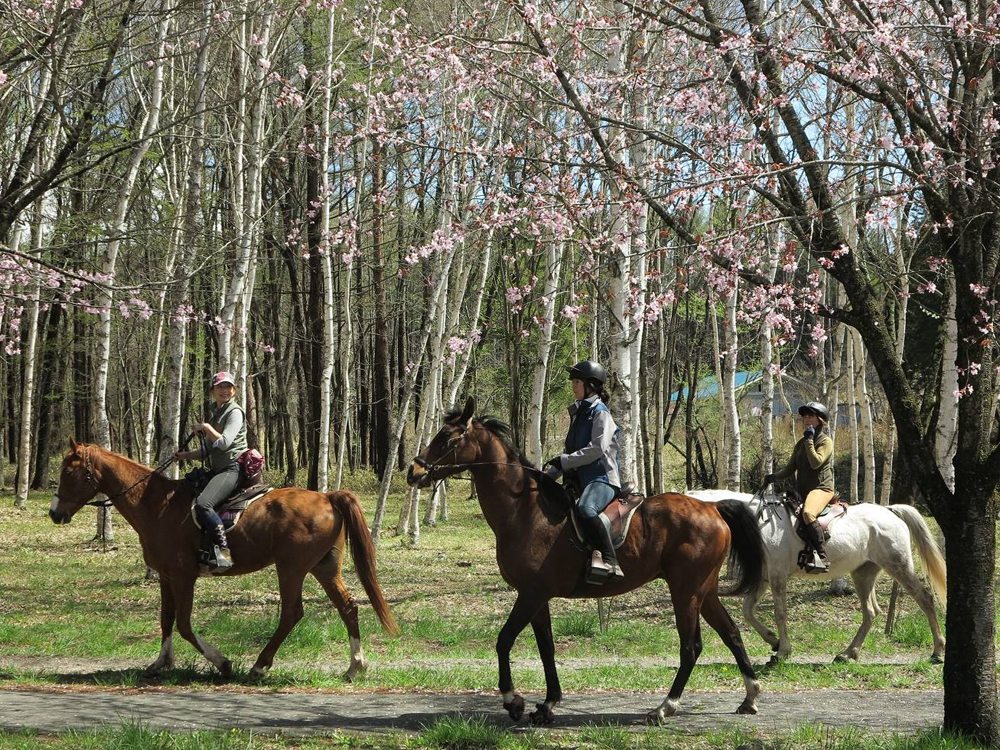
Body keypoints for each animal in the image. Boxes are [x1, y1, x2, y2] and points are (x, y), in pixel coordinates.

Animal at [49, 440, 398, 680]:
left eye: (68, 472)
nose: (54, 513)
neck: (157, 505)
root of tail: (327, 497)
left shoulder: (183, 576)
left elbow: (184, 624)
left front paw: (222, 662)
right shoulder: (166, 576)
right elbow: (166, 619)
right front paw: (161, 663)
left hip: (292, 568)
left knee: (292, 613)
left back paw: (259, 665)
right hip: (324, 567)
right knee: (347, 607)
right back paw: (355, 666)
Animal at [407, 398, 766, 725]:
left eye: (449, 439)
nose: (415, 471)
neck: (524, 512)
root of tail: (713, 508)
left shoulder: (531, 594)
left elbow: (504, 640)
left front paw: (513, 701)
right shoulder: (537, 597)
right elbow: (547, 648)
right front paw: (547, 705)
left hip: (686, 591)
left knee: (691, 647)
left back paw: (665, 707)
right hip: (704, 591)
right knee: (731, 633)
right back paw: (750, 696)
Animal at [685, 488, 946, 665]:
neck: (759, 523)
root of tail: (890, 511)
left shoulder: (777, 577)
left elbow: (780, 613)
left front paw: (782, 651)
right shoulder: (764, 579)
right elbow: (748, 611)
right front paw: (773, 641)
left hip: (898, 565)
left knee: (924, 599)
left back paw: (938, 651)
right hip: (863, 573)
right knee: (871, 611)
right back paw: (848, 654)